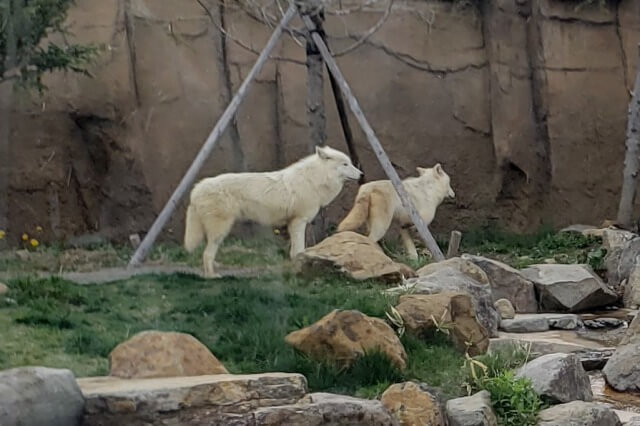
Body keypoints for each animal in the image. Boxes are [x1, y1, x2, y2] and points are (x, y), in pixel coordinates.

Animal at [186, 145, 364, 276]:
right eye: (345, 164)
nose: (362, 174)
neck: (314, 180)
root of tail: (196, 189)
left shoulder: (292, 224)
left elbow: (295, 251)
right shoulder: (299, 222)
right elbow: (298, 251)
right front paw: (299, 272)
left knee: (207, 253)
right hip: (221, 230)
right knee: (207, 254)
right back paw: (212, 276)